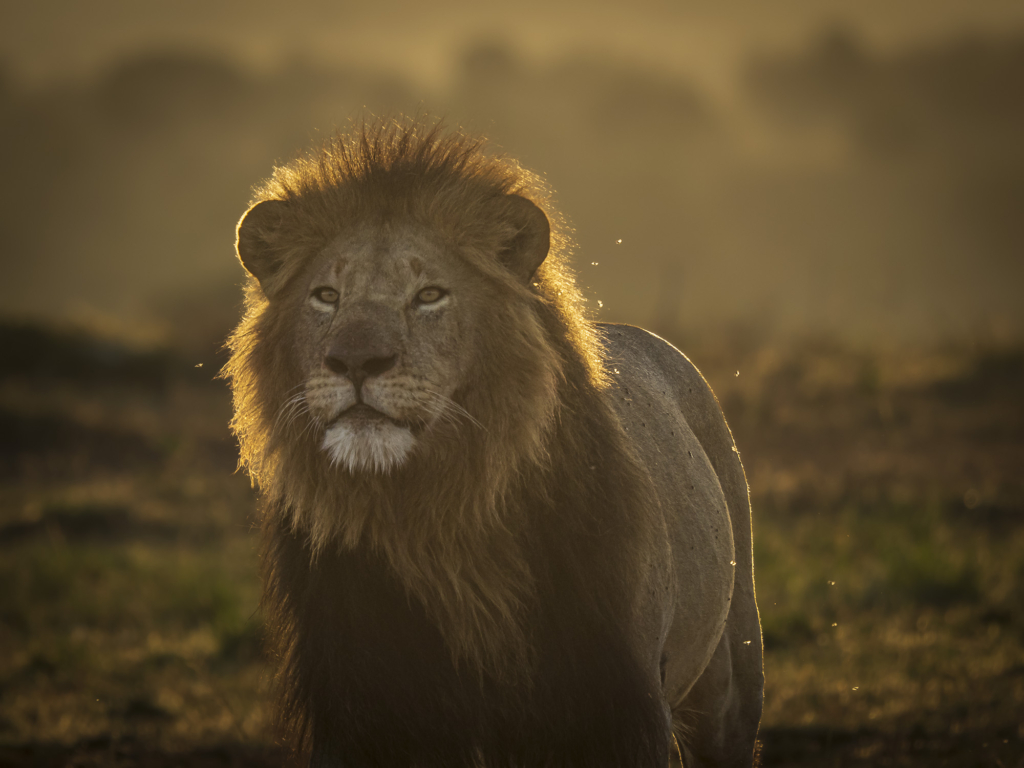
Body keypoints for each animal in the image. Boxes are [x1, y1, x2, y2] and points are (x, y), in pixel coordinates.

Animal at [226, 120, 770, 768]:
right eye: (326, 296)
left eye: (430, 295)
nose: (355, 360)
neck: (437, 524)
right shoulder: (367, 714)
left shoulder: (616, 705)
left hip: (732, 675)